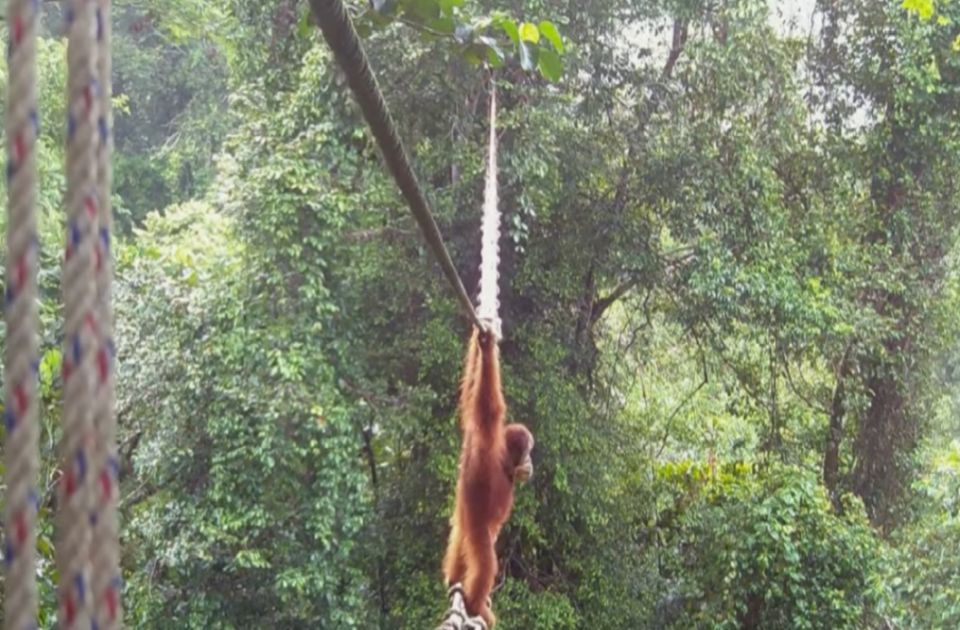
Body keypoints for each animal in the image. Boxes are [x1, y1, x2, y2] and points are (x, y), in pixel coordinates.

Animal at [442, 326, 534, 628]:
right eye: (527, 451)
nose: (530, 461)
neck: (503, 459)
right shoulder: (488, 439)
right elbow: (489, 405)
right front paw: (487, 345)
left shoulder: (474, 433)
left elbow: (470, 397)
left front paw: (479, 341)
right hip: (476, 529)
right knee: (485, 563)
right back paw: (475, 604)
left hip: (461, 523)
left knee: (459, 546)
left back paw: (454, 581)